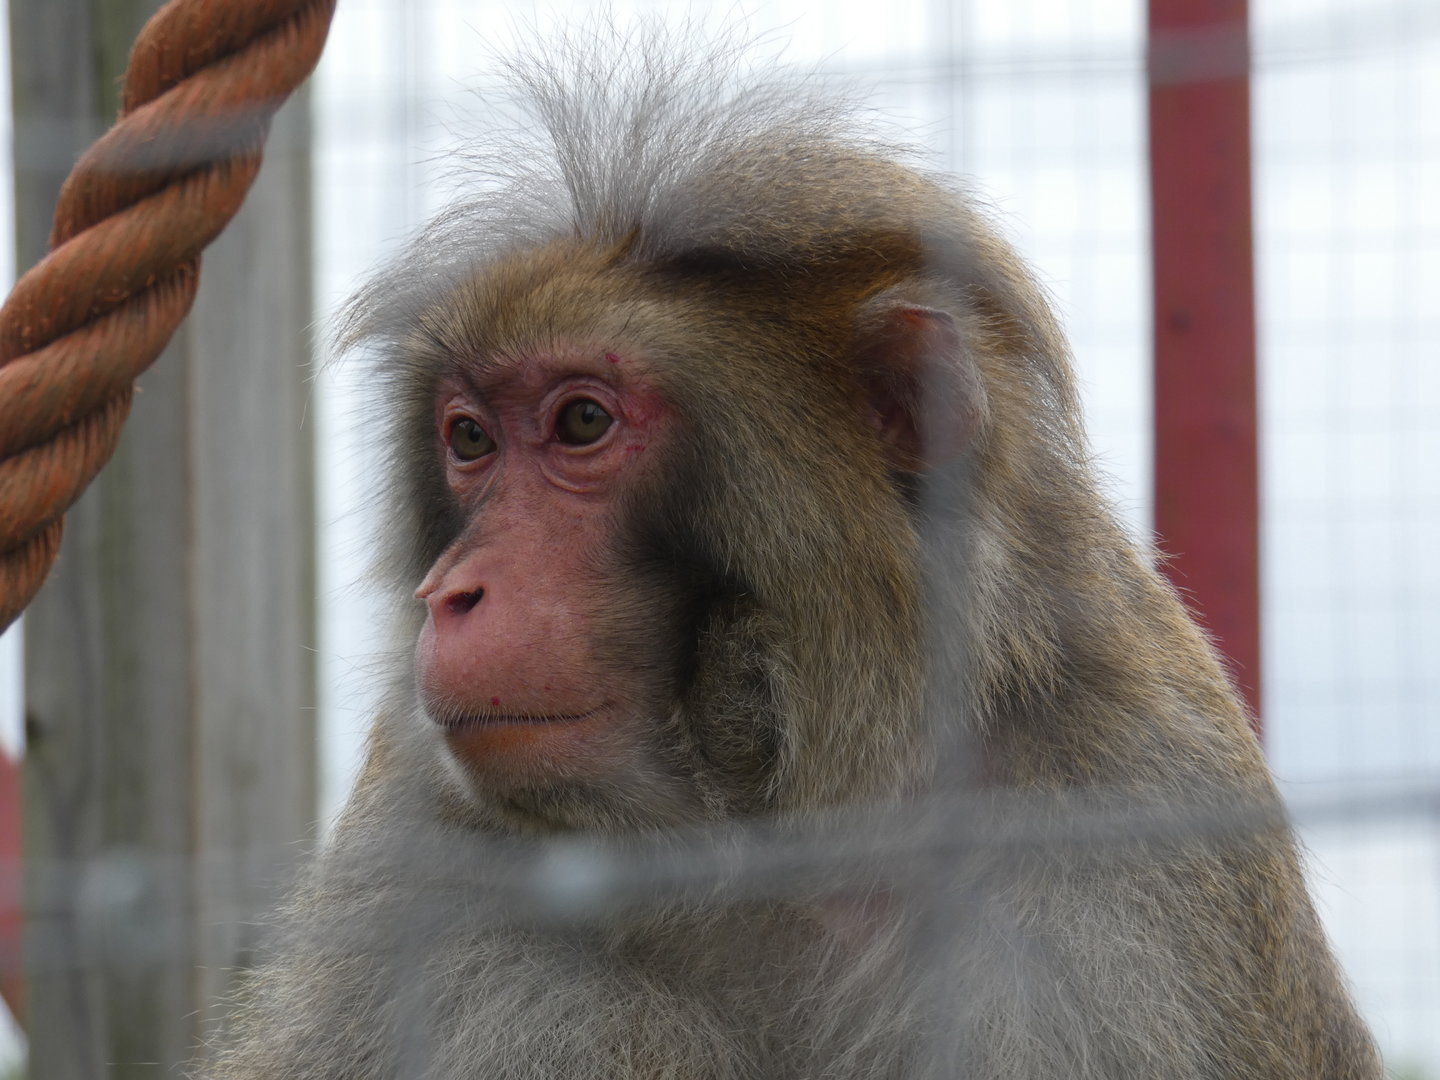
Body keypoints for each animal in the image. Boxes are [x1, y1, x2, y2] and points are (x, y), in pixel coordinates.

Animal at [199, 35, 1381, 1080]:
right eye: (470, 439)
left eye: (581, 422)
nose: (450, 593)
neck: (777, 818)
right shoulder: (427, 863)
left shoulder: (1127, 849)